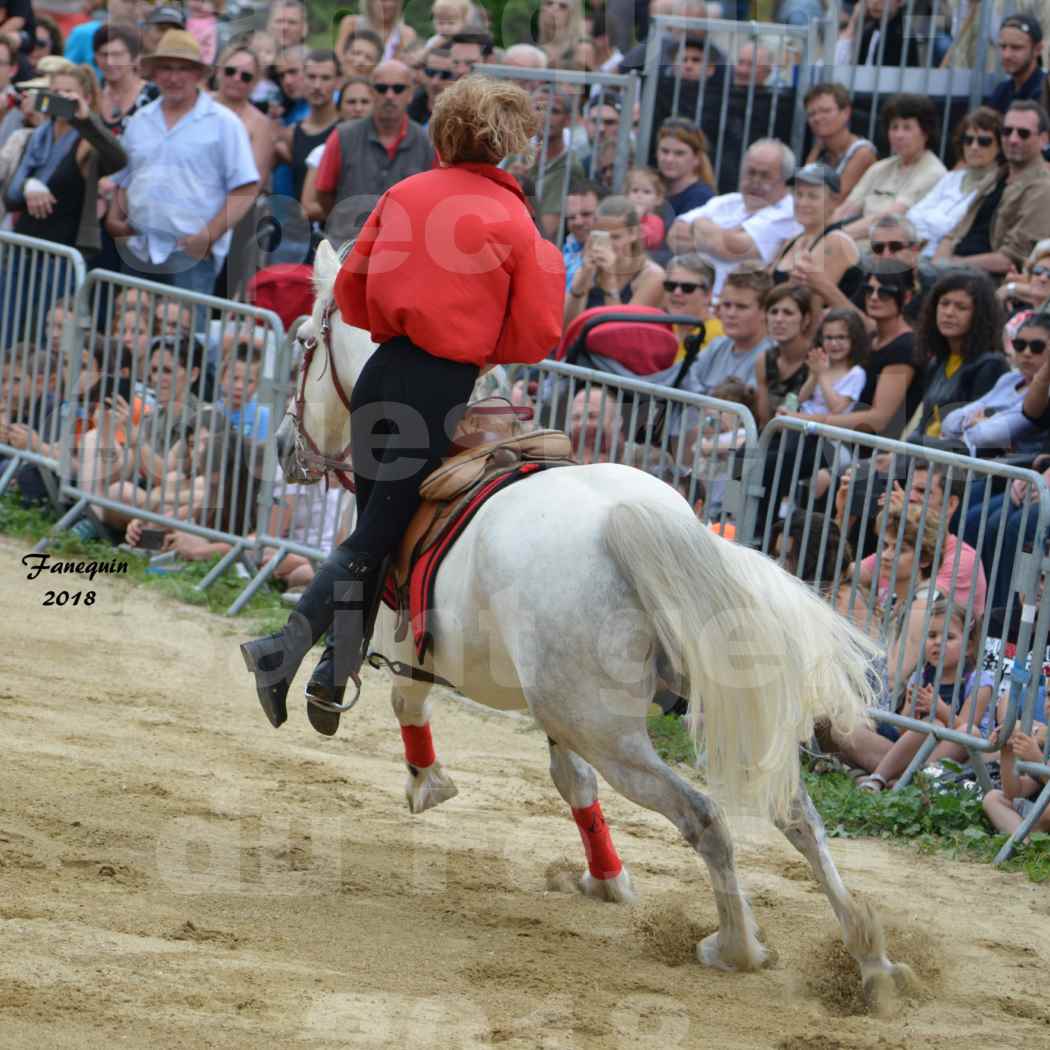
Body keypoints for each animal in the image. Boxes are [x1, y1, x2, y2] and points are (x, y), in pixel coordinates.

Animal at [275, 240, 915, 1007]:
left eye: (304, 346)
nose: (283, 449)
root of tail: (629, 523)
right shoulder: (554, 713)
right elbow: (569, 781)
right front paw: (605, 877)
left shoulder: (413, 647)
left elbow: (410, 702)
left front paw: (426, 782)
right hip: (628, 708)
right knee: (795, 814)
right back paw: (870, 959)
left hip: (608, 730)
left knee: (704, 817)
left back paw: (735, 946)